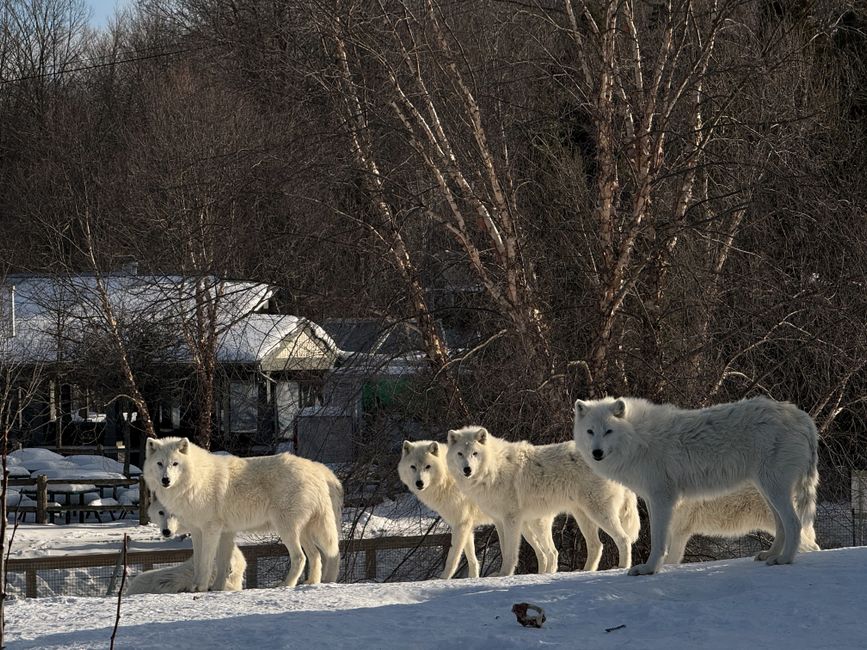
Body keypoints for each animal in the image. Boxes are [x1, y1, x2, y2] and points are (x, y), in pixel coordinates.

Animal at [144, 437, 343, 590]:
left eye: (175, 464)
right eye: (160, 464)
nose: (165, 480)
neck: (196, 480)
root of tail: (317, 470)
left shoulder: (211, 530)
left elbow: (206, 562)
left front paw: (200, 587)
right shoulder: (211, 532)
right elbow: (217, 563)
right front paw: (215, 588)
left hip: (288, 529)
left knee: (302, 557)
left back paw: (286, 585)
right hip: (305, 532)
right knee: (317, 555)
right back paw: (312, 583)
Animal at [399, 440, 558, 578]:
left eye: (427, 466)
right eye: (413, 467)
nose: (419, 483)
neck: (448, 479)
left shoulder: (461, 525)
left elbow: (453, 558)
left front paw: (442, 580)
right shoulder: (467, 527)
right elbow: (473, 560)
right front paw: (473, 578)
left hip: (532, 525)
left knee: (552, 552)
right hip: (523, 528)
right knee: (542, 554)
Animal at [446, 427, 640, 577]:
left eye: (475, 453)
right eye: (460, 454)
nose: (467, 470)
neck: (493, 469)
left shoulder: (512, 520)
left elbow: (510, 552)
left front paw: (505, 574)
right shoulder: (499, 521)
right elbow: (504, 548)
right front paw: (501, 574)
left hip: (599, 513)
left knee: (623, 539)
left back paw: (622, 567)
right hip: (583, 517)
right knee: (596, 545)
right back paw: (585, 571)